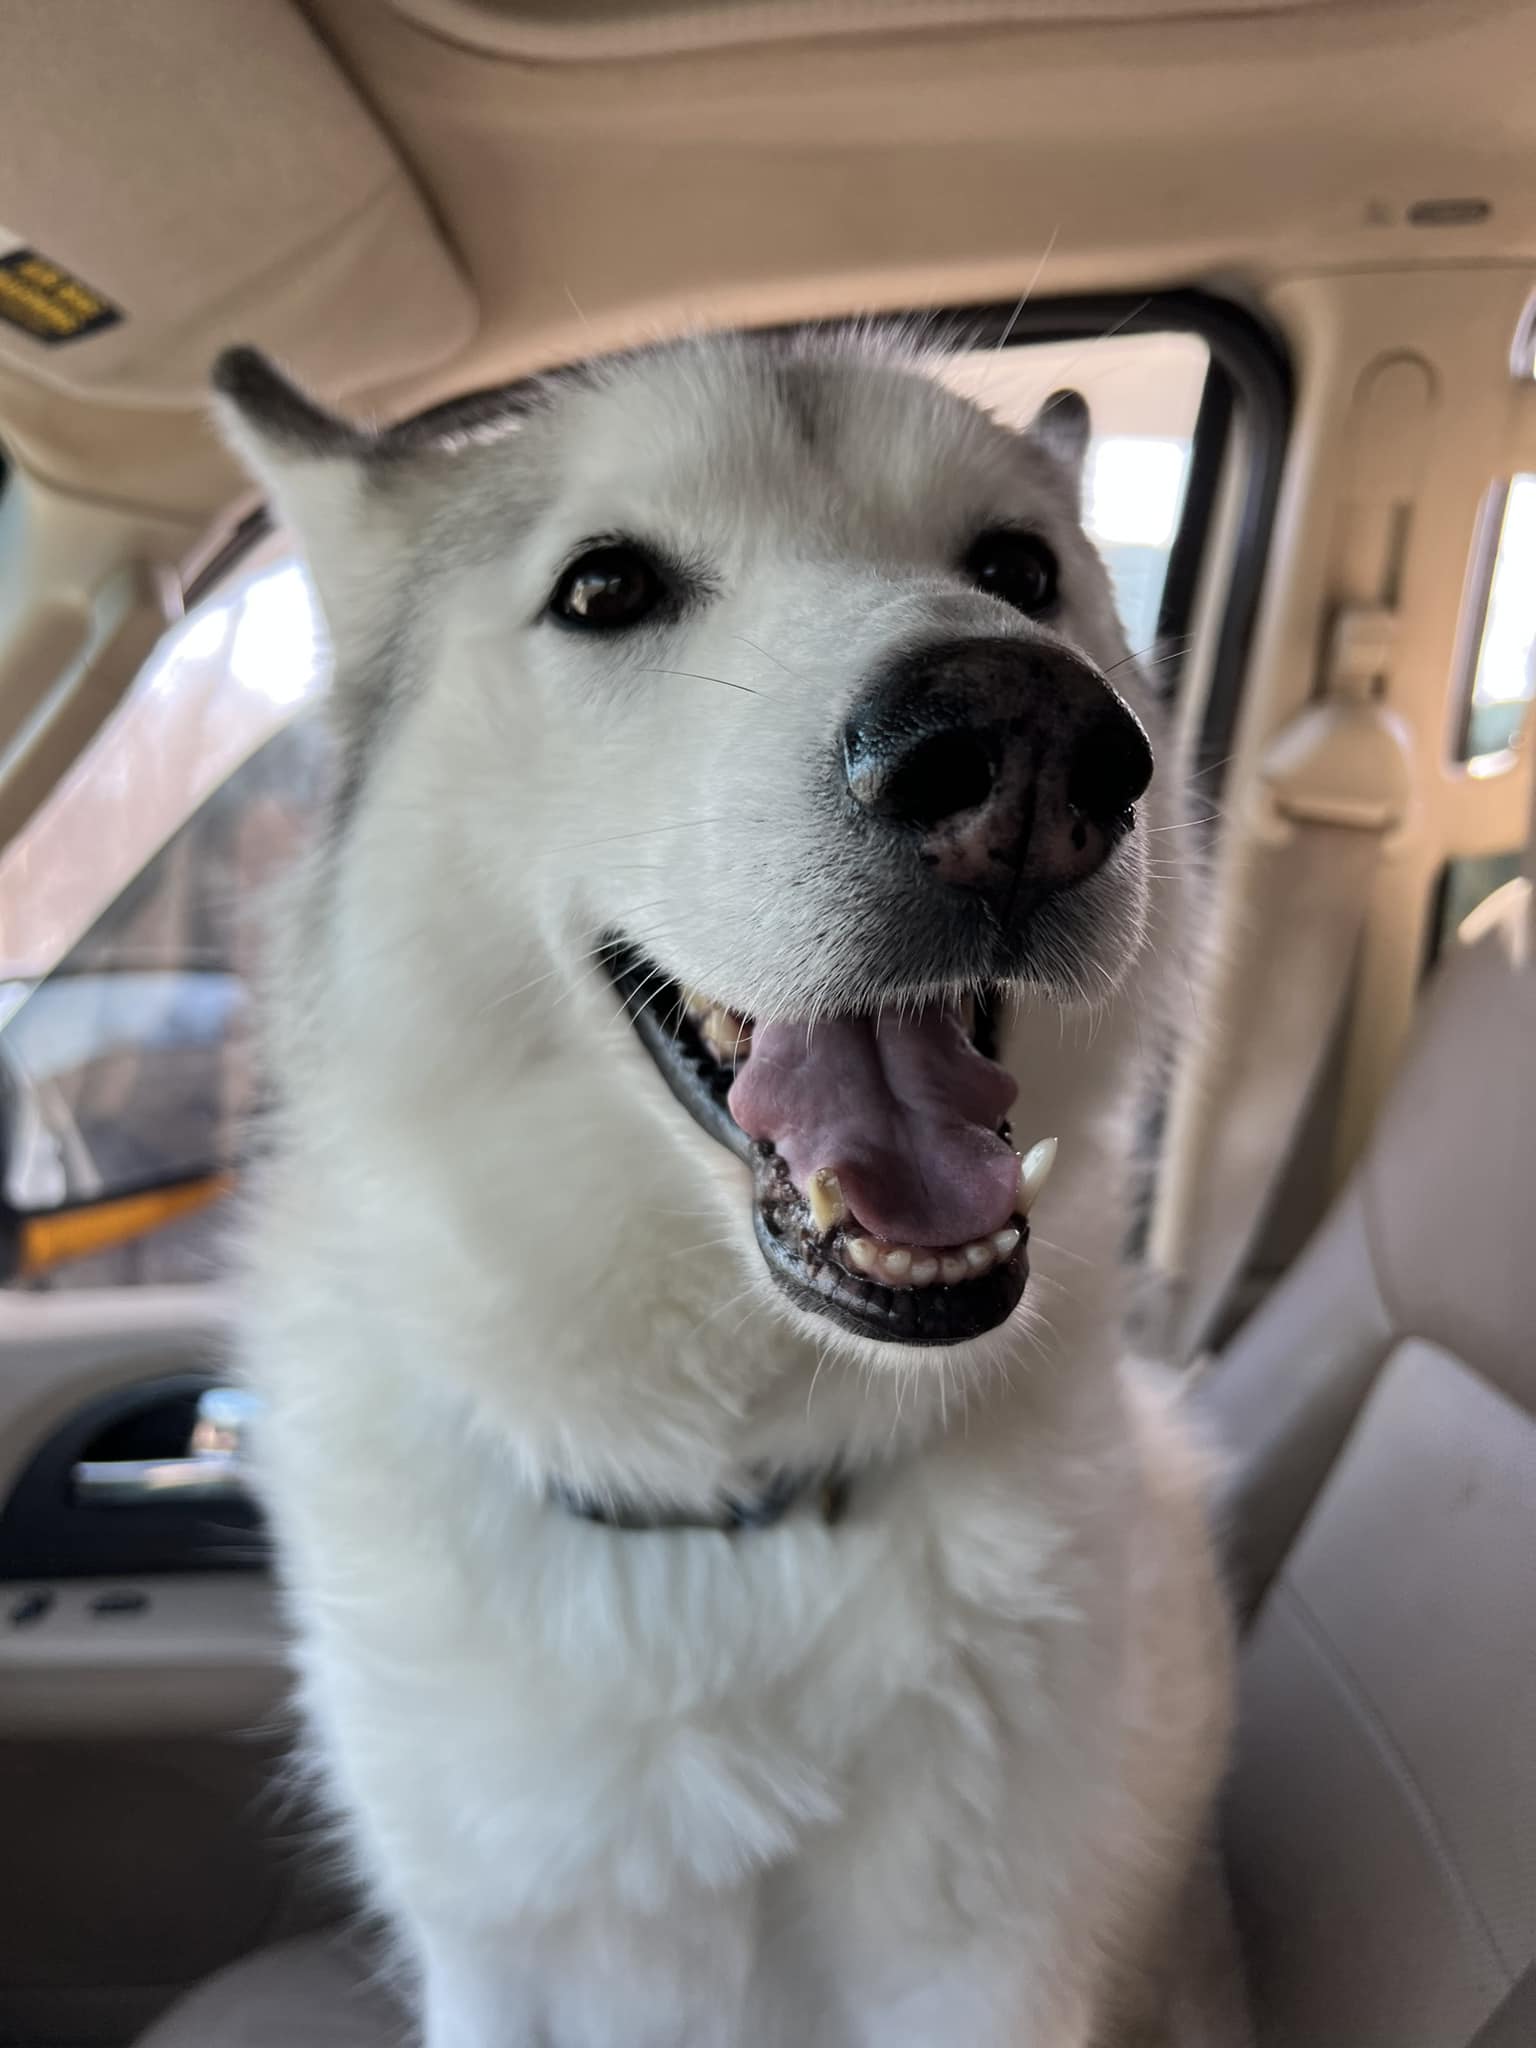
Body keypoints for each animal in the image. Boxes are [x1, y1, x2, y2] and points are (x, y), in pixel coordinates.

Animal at [217, 335, 1236, 2048]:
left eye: (1019, 571)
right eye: (605, 586)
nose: (1027, 741)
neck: (728, 1509)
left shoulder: (987, 1974)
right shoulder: (490, 1965)